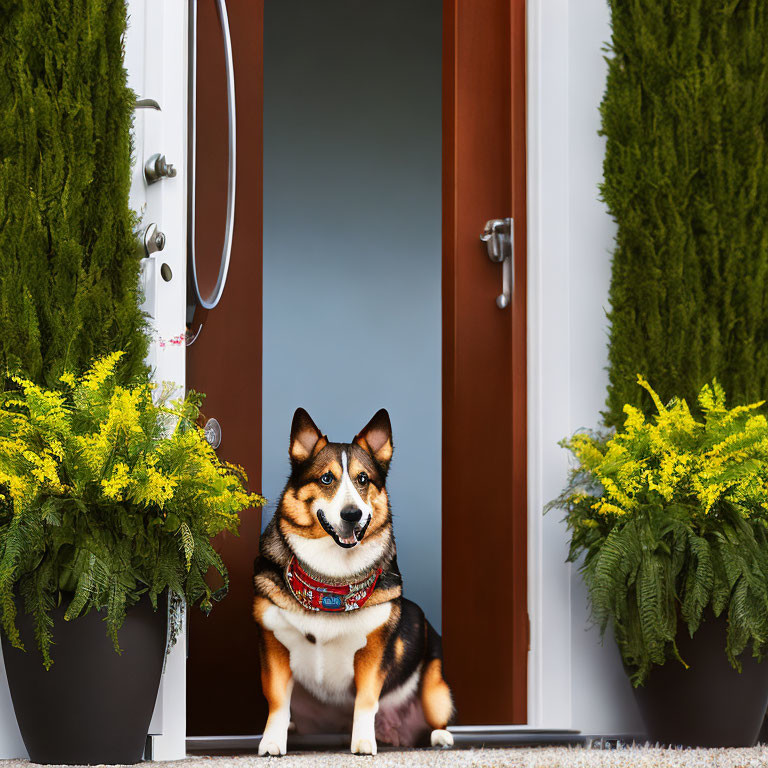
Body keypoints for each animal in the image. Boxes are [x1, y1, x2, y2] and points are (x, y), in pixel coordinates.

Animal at [255, 412, 452, 752]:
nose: (352, 514)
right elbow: (278, 703)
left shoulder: (372, 653)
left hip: (435, 687)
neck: (331, 582)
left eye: (363, 479)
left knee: (435, 716)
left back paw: (439, 736)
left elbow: (366, 701)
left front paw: (362, 743)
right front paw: (272, 743)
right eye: (326, 479)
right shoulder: (274, 644)